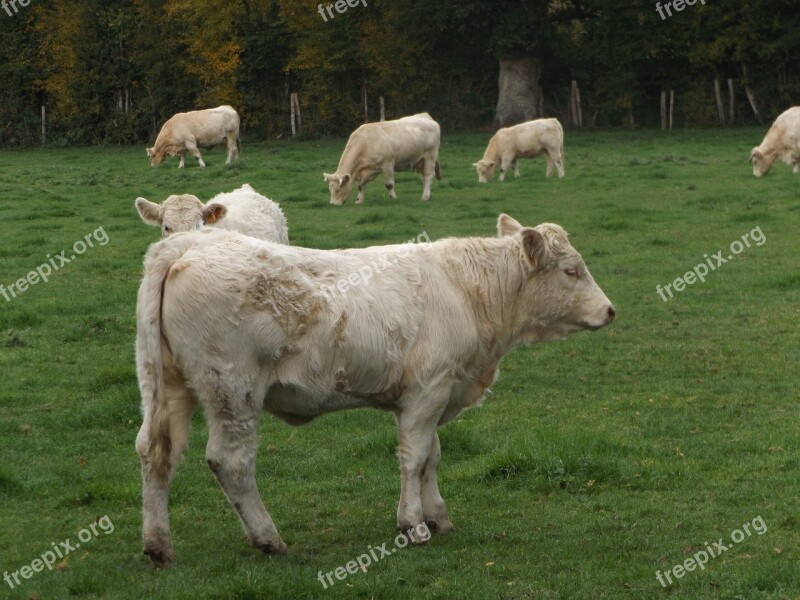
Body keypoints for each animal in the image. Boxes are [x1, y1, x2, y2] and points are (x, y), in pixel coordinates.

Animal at [134, 212, 616, 568]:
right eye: (572, 270)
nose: (610, 310)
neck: (467, 292)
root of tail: (189, 244)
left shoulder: (434, 394)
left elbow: (432, 457)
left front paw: (437, 516)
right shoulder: (428, 389)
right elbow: (415, 458)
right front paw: (413, 525)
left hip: (165, 386)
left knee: (156, 452)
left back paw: (158, 545)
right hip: (233, 390)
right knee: (230, 462)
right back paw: (268, 538)